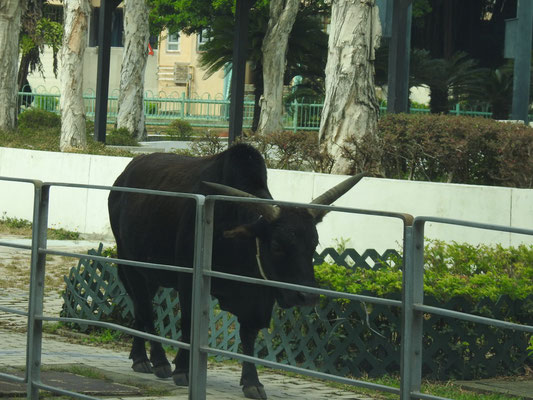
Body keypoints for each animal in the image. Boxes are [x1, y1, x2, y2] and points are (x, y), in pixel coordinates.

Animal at [108, 143, 366, 396]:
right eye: (276, 245)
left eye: (314, 243)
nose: (307, 296)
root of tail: (123, 176)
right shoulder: (188, 280)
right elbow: (188, 324)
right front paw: (182, 370)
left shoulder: (256, 296)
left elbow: (249, 336)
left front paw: (252, 381)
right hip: (130, 263)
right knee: (145, 309)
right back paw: (157, 361)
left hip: (150, 274)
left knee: (139, 307)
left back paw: (140, 357)